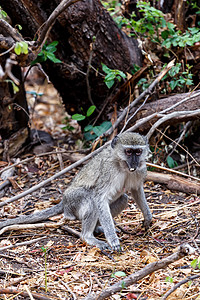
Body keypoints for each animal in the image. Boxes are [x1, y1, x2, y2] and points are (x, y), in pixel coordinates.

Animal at [0, 132, 152, 252]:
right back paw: (88, 236)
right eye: (128, 152)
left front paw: (147, 217)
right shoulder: (108, 171)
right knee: (92, 200)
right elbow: (99, 198)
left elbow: (136, 189)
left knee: (123, 198)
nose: (134, 163)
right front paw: (112, 239)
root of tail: (64, 201)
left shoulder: (140, 169)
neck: (122, 165)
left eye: (138, 152)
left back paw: (97, 229)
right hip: (72, 202)